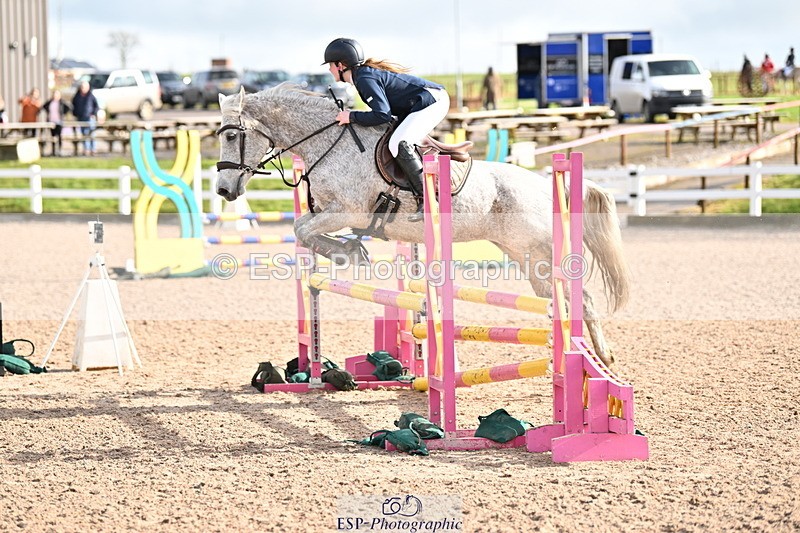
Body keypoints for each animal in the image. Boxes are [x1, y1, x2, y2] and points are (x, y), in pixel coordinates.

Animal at [215, 84, 630, 366]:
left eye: (232, 135)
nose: (222, 189)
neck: (329, 143)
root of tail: (546, 183)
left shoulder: (348, 211)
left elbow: (302, 228)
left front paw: (349, 253)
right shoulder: (333, 212)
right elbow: (304, 231)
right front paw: (349, 251)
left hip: (541, 251)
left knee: (583, 297)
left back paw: (602, 359)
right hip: (527, 258)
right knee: (563, 298)